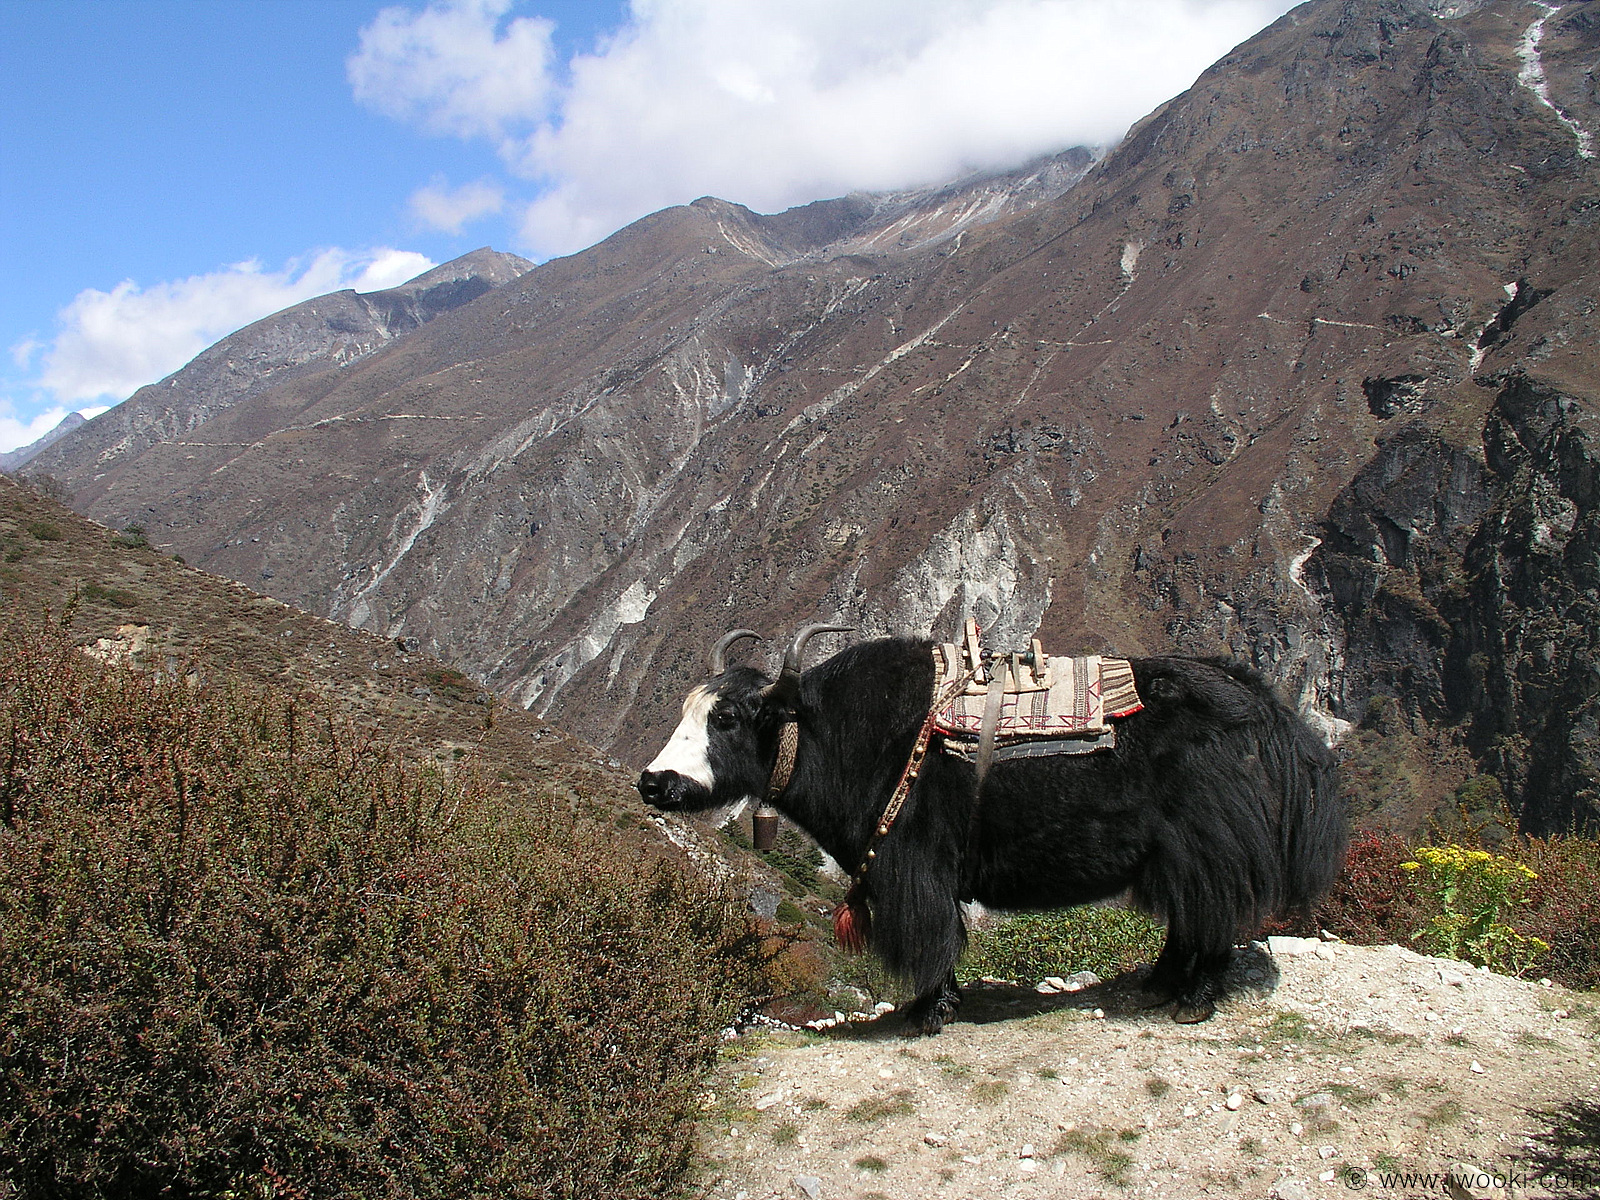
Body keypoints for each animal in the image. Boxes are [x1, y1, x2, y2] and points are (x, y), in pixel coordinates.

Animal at [637, 624, 1346, 1035]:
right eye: (690, 710)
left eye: (727, 718)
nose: (652, 782)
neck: (836, 734)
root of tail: (1260, 704)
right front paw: (934, 1007)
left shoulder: (914, 865)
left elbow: (932, 935)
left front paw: (927, 1015)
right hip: (1169, 854)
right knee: (1188, 918)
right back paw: (1158, 984)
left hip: (1204, 845)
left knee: (1214, 913)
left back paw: (1191, 999)